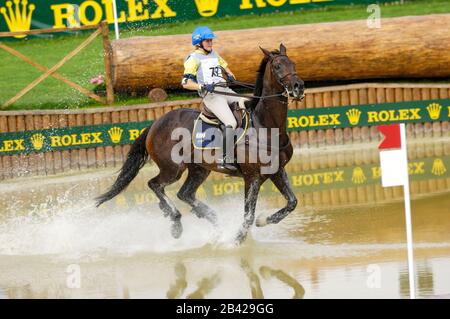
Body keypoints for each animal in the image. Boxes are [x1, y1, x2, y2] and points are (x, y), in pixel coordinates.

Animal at [95, 43, 306, 245]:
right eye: (277, 66)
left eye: (294, 63)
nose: (298, 87)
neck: (264, 125)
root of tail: (155, 123)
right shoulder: (252, 177)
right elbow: (248, 216)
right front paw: (237, 241)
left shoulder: (277, 171)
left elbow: (292, 203)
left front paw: (262, 221)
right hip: (173, 169)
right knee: (155, 184)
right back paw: (176, 221)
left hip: (199, 169)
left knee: (185, 194)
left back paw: (208, 218)